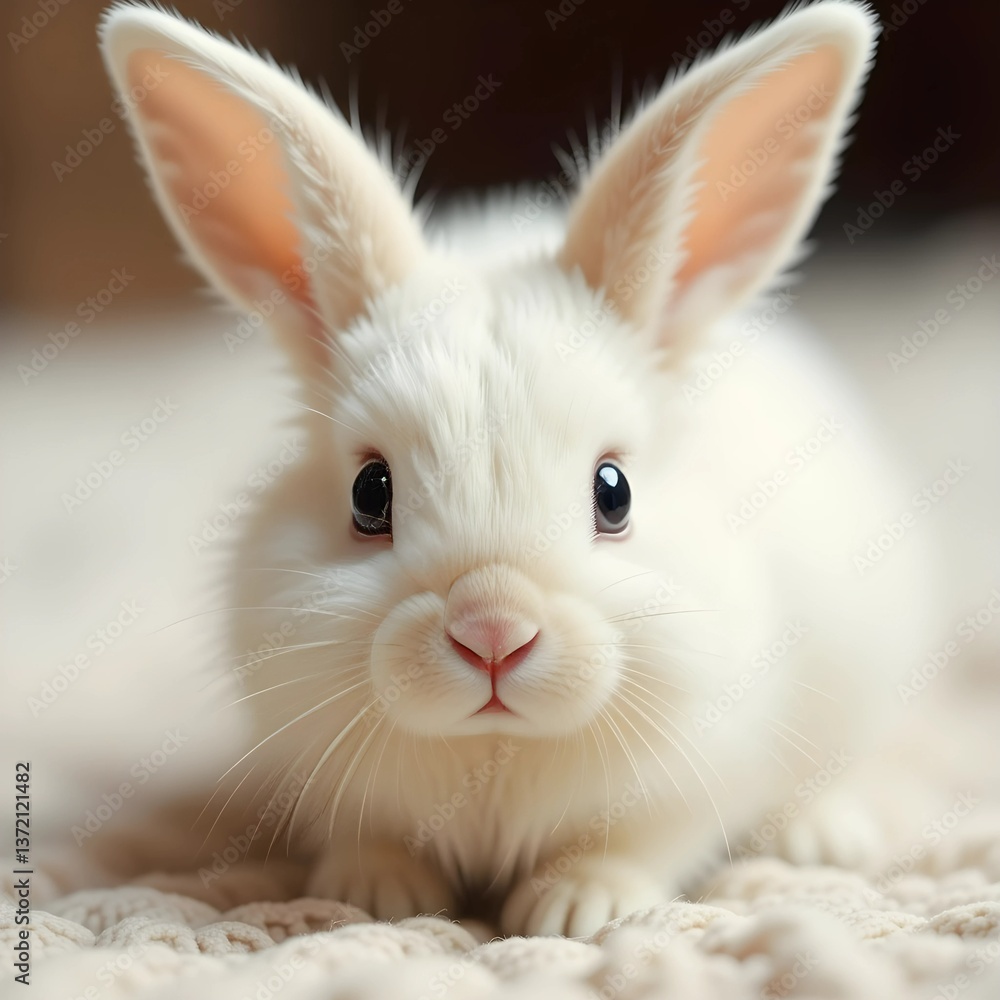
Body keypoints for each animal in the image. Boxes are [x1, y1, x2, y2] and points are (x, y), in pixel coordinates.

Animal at [100, 0, 935, 936]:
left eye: (615, 492)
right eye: (369, 492)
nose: (492, 630)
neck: (495, 751)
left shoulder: (696, 778)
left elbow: (635, 844)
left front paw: (578, 911)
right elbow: (372, 839)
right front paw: (377, 898)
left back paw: (821, 841)